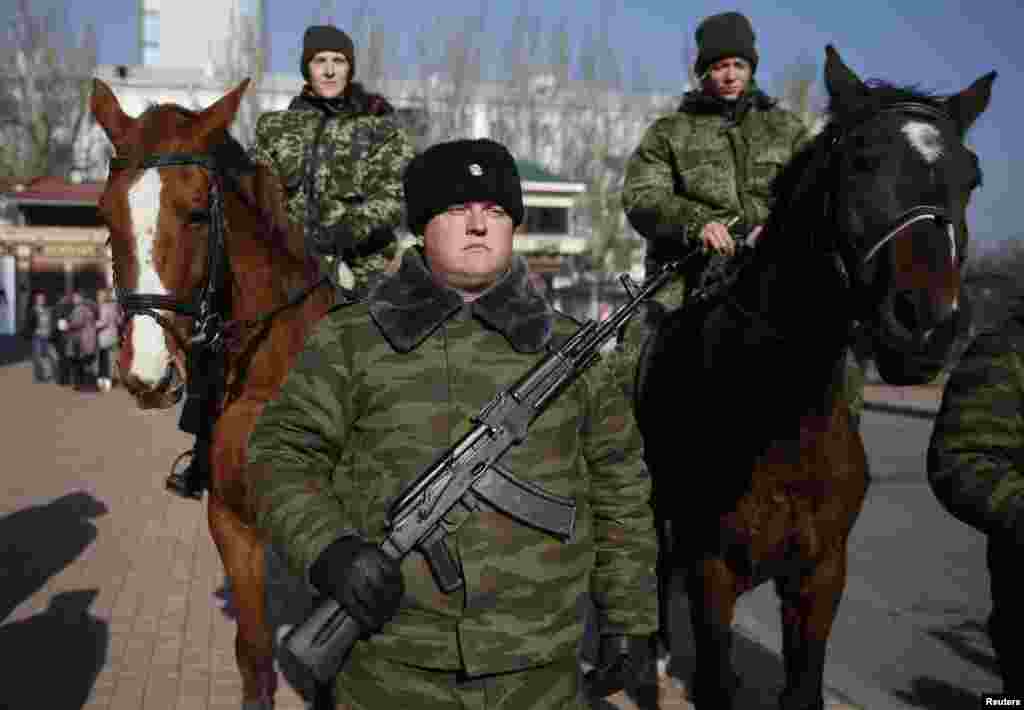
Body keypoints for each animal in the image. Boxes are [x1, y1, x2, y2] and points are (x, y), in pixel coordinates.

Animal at [90, 78, 333, 708]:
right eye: (105, 215)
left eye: (199, 212)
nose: (146, 371)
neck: (272, 373)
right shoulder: (232, 523)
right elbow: (254, 654)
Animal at [634, 47, 995, 704]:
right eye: (861, 161)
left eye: (971, 177)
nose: (926, 324)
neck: (779, 422)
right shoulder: (712, 571)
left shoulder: (821, 576)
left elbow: (803, 687)